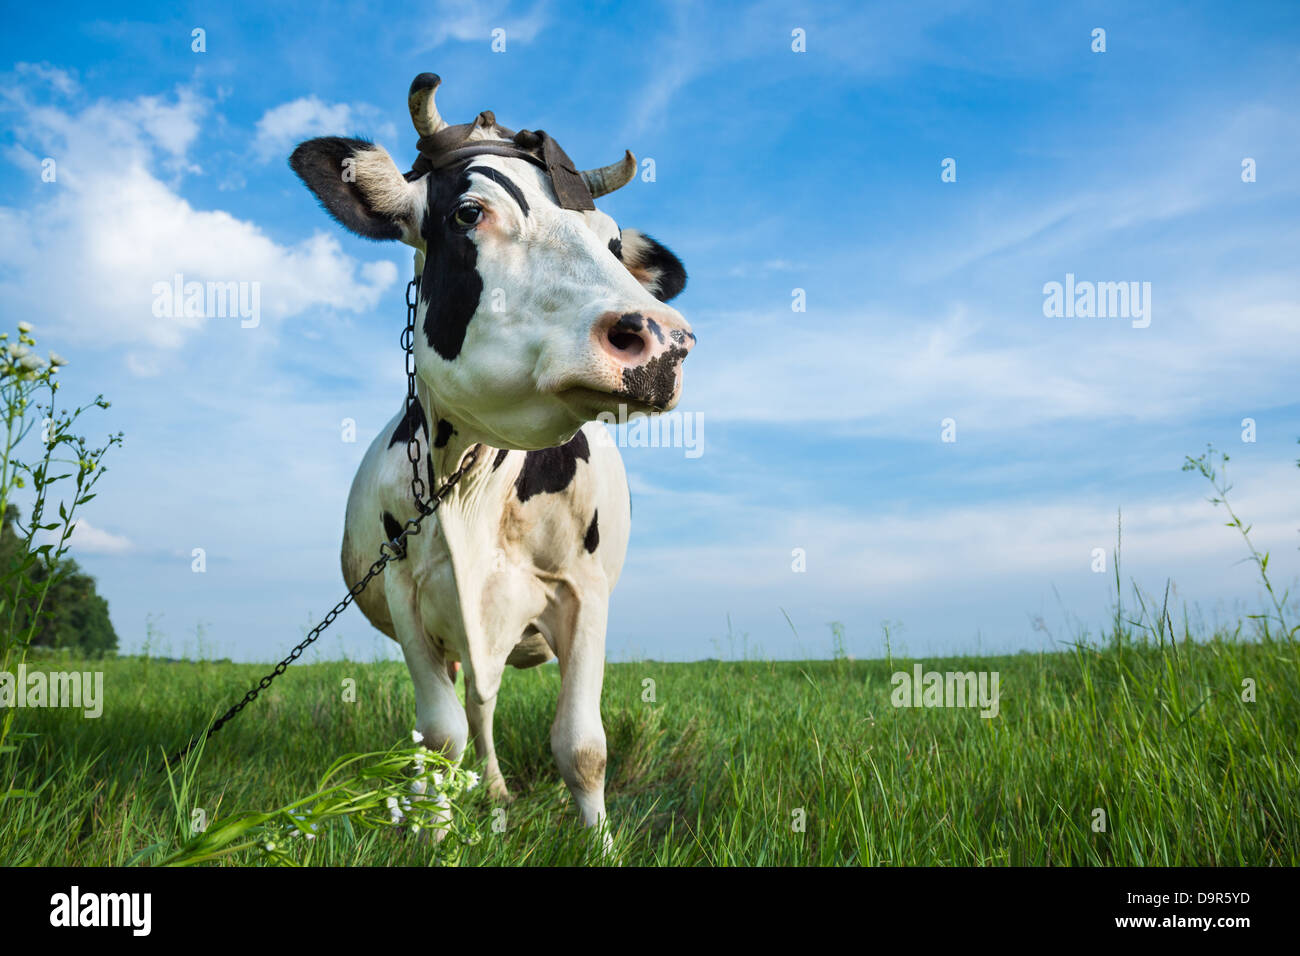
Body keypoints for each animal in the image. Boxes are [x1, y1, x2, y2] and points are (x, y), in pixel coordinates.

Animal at [289, 74, 696, 842]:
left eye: (611, 240)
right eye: (469, 212)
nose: (662, 340)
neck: (476, 489)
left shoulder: (584, 590)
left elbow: (584, 746)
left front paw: (599, 843)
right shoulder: (406, 595)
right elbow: (440, 734)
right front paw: (438, 835)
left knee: (487, 700)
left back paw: (500, 793)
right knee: (468, 709)